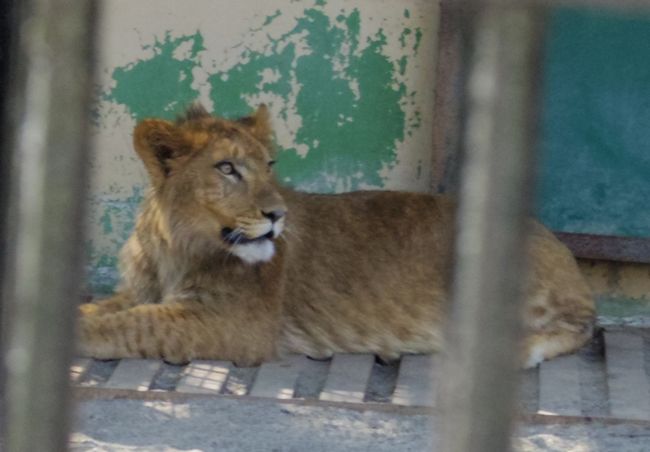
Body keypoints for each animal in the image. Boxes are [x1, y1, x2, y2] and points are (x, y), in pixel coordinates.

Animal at [78, 105, 596, 368]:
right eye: (227, 168)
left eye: (269, 165)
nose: (278, 215)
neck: (175, 244)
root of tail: (557, 243)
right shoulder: (142, 291)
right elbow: (111, 308)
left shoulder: (238, 325)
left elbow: (138, 324)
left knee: (582, 325)